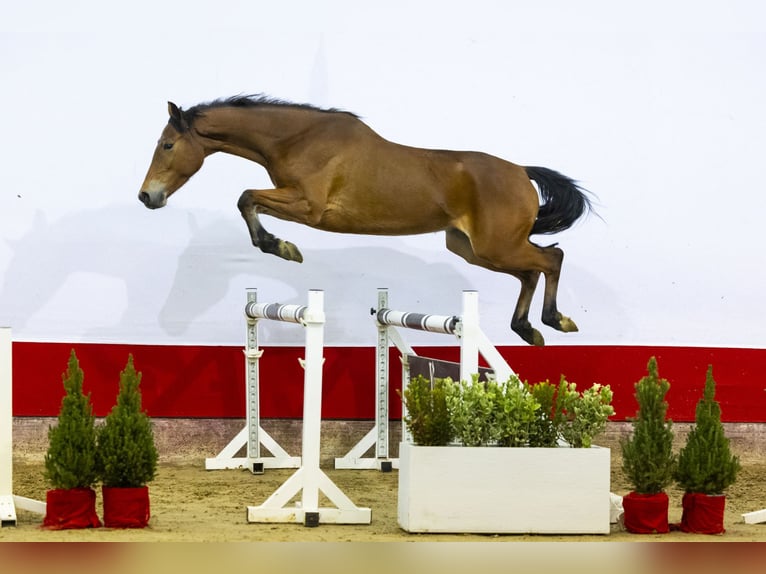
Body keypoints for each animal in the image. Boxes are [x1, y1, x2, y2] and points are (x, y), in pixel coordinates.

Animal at [140, 95, 592, 346]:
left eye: (167, 145)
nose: (147, 196)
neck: (296, 138)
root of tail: (521, 172)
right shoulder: (293, 201)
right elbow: (249, 202)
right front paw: (279, 245)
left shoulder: (308, 207)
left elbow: (246, 197)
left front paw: (283, 248)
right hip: (473, 249)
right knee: (531, 271)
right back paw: (527, 329)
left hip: (496, 247)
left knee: (551, 259)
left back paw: (555, 321)